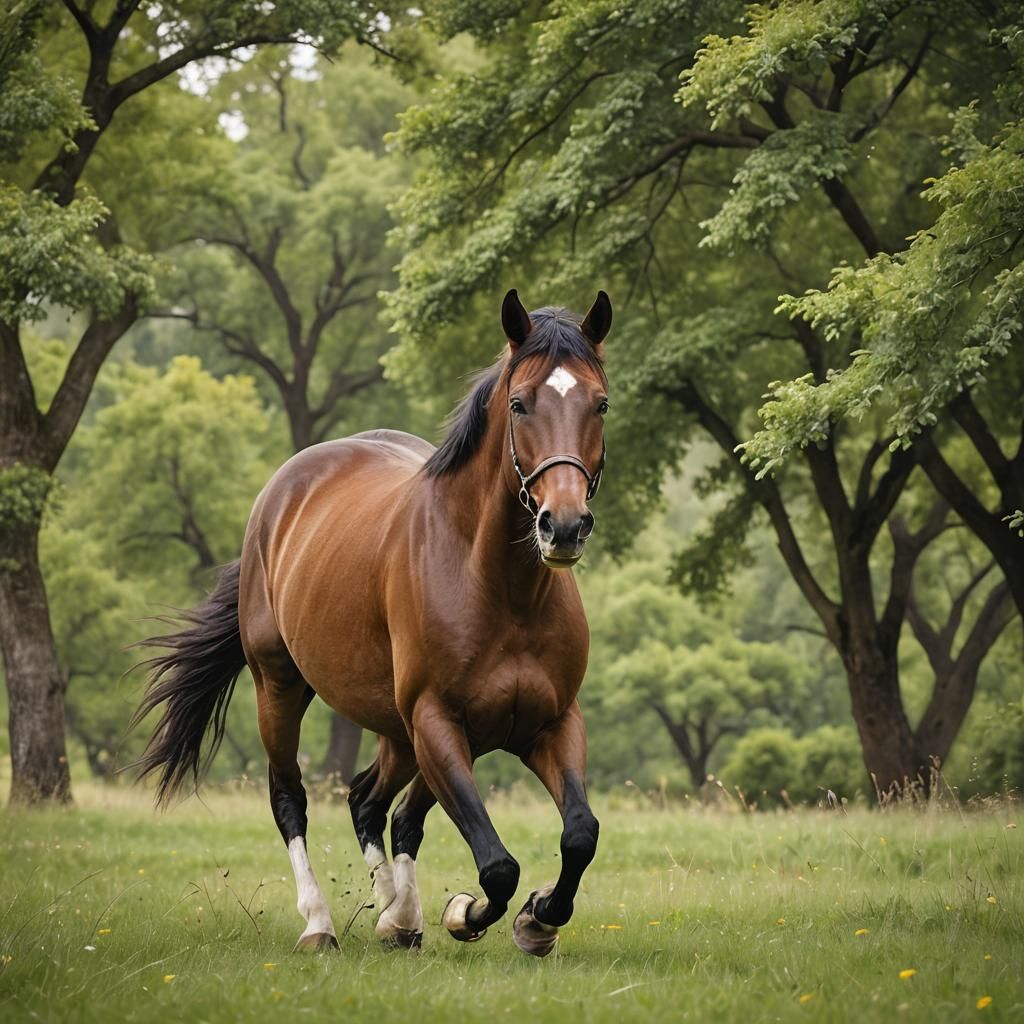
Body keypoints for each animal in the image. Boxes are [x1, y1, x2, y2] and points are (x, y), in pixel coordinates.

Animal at [133, 288, 612, 958]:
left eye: (600, 403)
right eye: (520, 403)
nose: (563, 527)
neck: (498, 587)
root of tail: (281, 493)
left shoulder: (552, 723)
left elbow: (578, 834)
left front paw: (538, 919)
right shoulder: (438, 721)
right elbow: (496, 866)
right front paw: (466, 912)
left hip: (397, 729)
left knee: (371, 801)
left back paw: (396, 914)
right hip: (281, 688)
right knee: (292, 798)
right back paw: (322, 924)